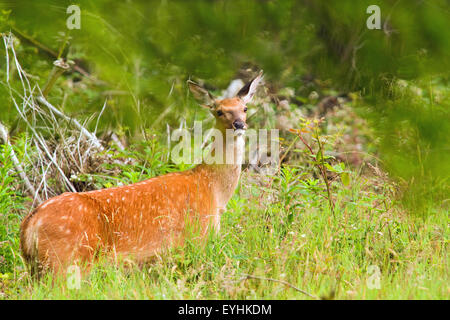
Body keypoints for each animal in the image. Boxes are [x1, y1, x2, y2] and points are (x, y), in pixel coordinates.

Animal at [19, 71, 264, 274]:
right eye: (219, 111)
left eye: (245, 108)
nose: (239, 124)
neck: (213, 189)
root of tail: (31, 223)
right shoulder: (197, 236)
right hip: (66, 258)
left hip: (37, 267)